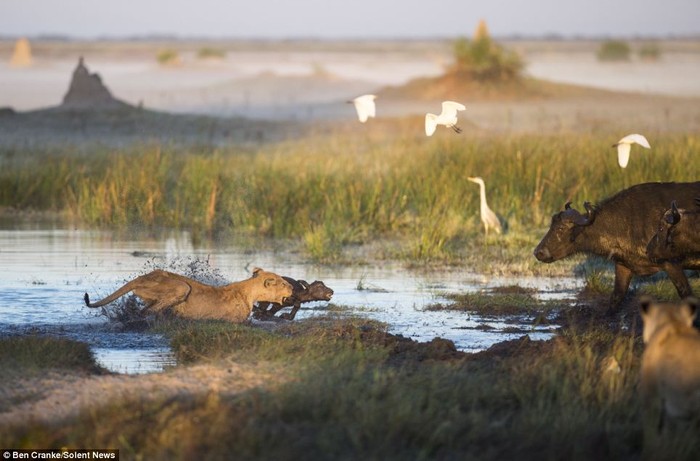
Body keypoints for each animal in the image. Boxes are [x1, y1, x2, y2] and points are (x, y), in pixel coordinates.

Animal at [532, 181, 700, 310]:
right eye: (551, 225)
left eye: (561, 228)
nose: (538, 252)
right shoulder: (623, 266)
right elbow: (616, 298)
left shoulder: (672, 264)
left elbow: (686, 294)